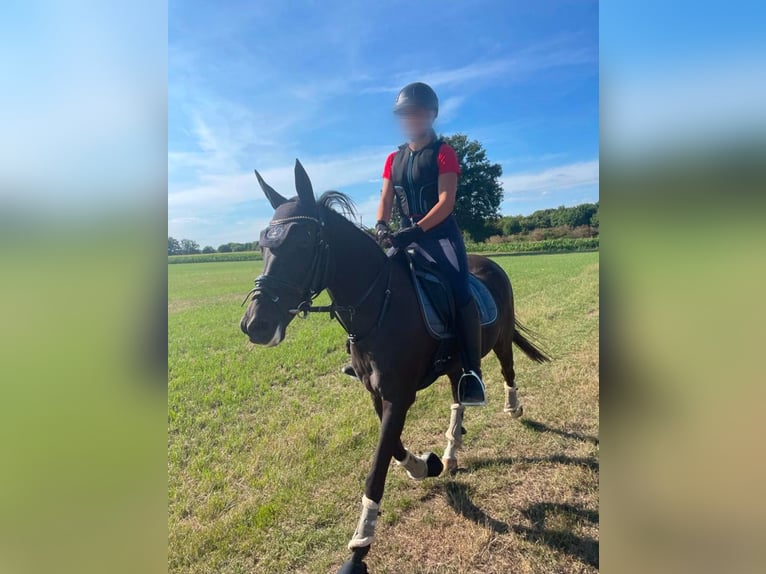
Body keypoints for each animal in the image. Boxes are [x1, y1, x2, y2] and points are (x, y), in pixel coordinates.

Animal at [243, 160, 548, 572]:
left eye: (304, 242)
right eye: (263, 244)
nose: (255, 325)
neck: (379, 307)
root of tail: (489, 265)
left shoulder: (399, 396)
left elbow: (376, 469)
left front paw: (359, 548)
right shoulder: (378, 393)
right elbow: (396, 447)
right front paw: (426, 466)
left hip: (498, 343)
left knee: (507, 371)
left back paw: (513, 408)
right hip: (456, 365)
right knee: (458, 398)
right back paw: (451, 452)